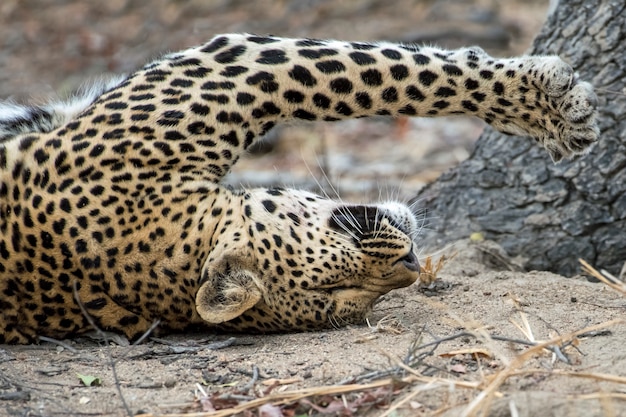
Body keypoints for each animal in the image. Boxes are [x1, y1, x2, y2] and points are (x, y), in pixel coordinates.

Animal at [0, 34, 596, 342]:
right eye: (345, 298)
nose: (410, 266)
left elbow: (384, 73)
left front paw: (553, 108)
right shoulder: (231, 63)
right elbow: (383, 73)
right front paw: (554, 105)